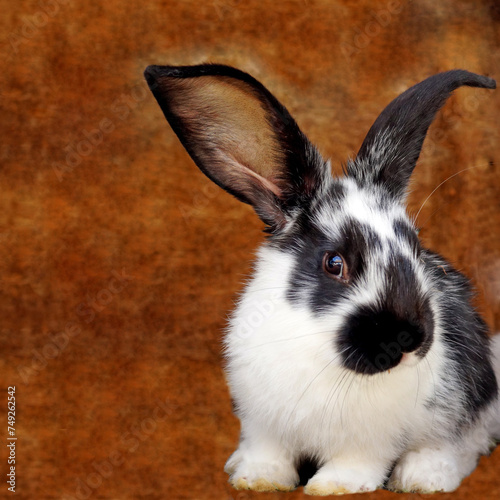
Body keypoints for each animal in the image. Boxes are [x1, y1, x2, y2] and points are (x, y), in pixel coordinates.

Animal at [143, 63, 498, 496]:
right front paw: (257, 479)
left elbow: (357, 462)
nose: (410, 339)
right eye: (334, 263)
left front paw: (331, 487)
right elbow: (267, 453)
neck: (315, 345)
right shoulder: (262, 425)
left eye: (415, 247)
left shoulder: (369, 440)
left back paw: (421, 479)